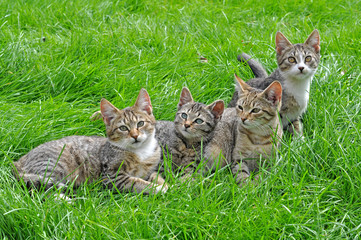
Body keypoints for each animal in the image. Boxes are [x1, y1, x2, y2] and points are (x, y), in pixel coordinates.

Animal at [13, 89, 167, 196]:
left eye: (140, 123)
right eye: (123, 128)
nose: (135, 136)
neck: (141, 152)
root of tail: (18, 162)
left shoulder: (151, 168)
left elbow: (154, 175)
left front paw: (164, 184)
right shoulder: (112, 177)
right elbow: (137, 182)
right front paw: (157, 188)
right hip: (53, 165)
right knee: (42, 189)